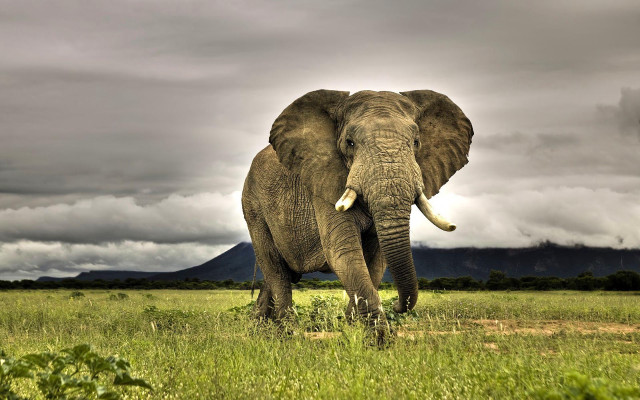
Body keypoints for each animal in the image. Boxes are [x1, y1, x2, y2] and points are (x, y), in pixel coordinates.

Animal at [242, 89, 473, 336]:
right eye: (349, 143)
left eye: (416, 142)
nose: (397, 305)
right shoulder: (324, 181)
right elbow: (343, 252)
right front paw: (378, 339)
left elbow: (376, 260)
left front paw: (353, 329)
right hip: (253, 205)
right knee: (276, 269)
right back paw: (288, 334)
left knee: (275, 274)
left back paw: (259, 328)